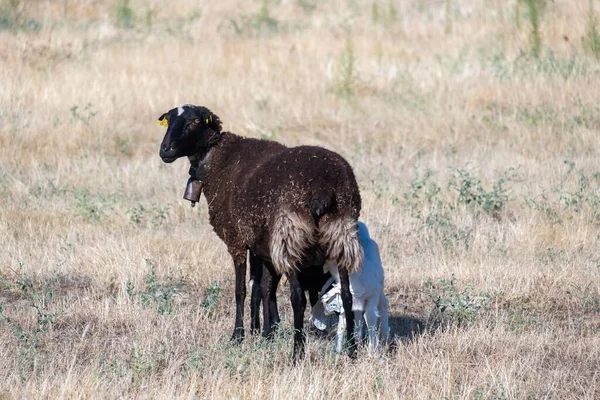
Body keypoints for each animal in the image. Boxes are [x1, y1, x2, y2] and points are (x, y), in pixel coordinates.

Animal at [158, 104, 360, 360]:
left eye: (194, 122)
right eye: (169, 119)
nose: (165, 150)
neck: (219, 160)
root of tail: (322, 187)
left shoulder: (236, 240)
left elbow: (242, 290)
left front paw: (238, 335)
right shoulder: (258, 243)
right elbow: (261, 287)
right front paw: (263, 333)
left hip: (290, 237)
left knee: (297, 297)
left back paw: (297, 352)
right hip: (341, 235)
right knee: (347, 295)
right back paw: (352, 350)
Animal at [312, 220, 392, 352]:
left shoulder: (372, 296)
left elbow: (370, 317)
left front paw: (373, 350)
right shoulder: (345, 300)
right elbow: (343, 323)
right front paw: (338, 350)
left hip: (379, 288)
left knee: (384, 303)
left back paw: (385, 336)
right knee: (358, 313)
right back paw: (358, 338)